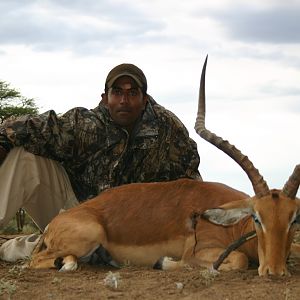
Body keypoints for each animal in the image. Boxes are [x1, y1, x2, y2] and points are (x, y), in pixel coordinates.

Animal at [30, 56, 300, 276]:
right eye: (257, 217)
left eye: (294, 219)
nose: (274, 271)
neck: (233, 226)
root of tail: (55, 222)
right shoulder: (199, 252)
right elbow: (238, 259)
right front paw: (163, 262)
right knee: (37, 261)